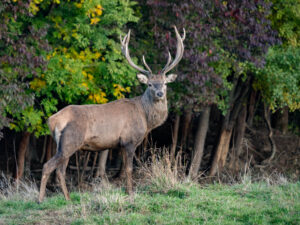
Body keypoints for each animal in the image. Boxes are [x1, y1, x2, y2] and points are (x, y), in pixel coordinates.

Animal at [37, 25, 185, 202]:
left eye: (164, 84)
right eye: (149, 84)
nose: (160, 93)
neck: (145, 118)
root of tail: (52, 120)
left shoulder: (120, 144)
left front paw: (127, 192)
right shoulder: (129, 140)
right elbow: (129, 169)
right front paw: (131, 193)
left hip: (63, 144)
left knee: (60, 170)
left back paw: (68, 198)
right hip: (71, 140)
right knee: (48, 166)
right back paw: (40, 199)